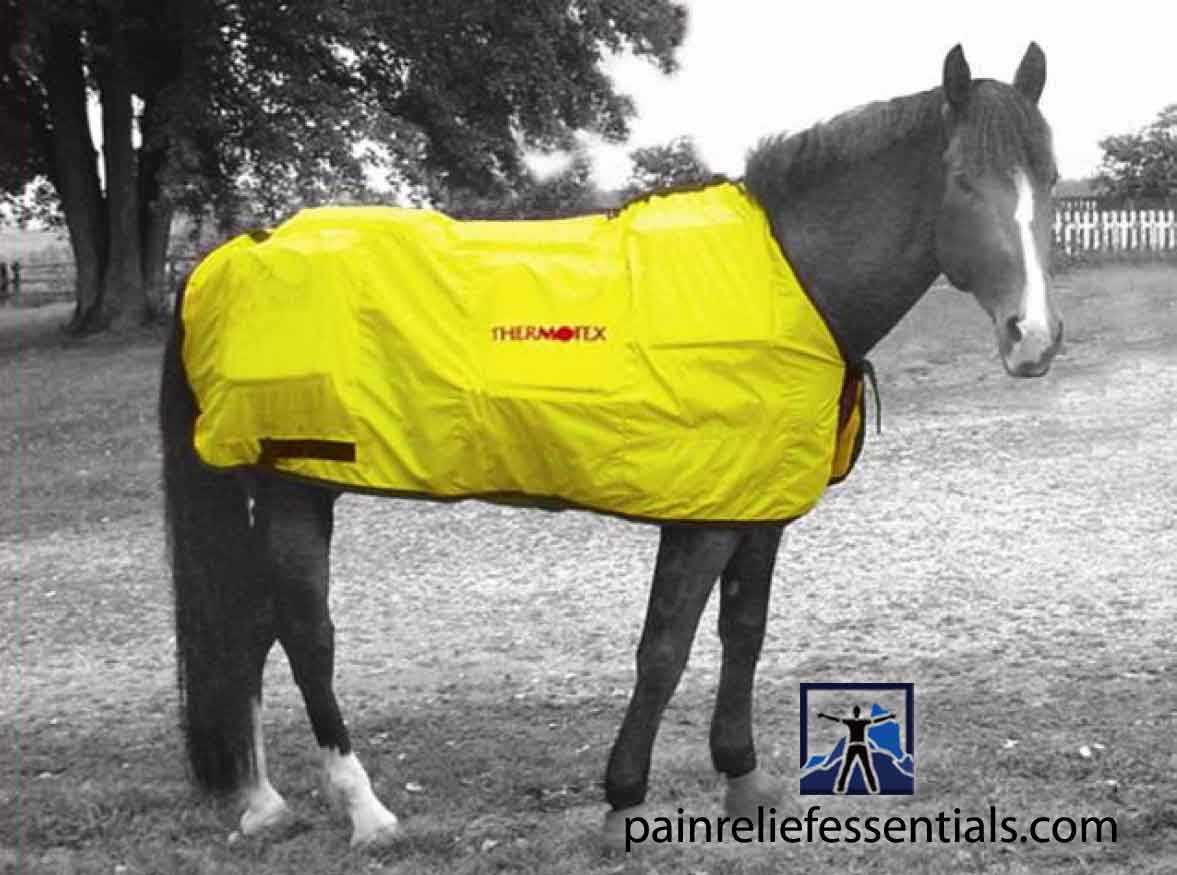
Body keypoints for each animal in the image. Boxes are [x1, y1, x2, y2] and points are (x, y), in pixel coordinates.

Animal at [159, 42, 1062, 849]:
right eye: (961, 181)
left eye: (1048, 182)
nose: (1034, 338)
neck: (789, 280)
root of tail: (240, 249)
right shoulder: (702, 516)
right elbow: (663, 648)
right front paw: (623, 799)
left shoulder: (757, 505)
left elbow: (744, 630)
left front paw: (743, 779)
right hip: (293, 483)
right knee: (306, 634)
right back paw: (365, 812)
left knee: (251, 629)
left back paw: (262, 802)